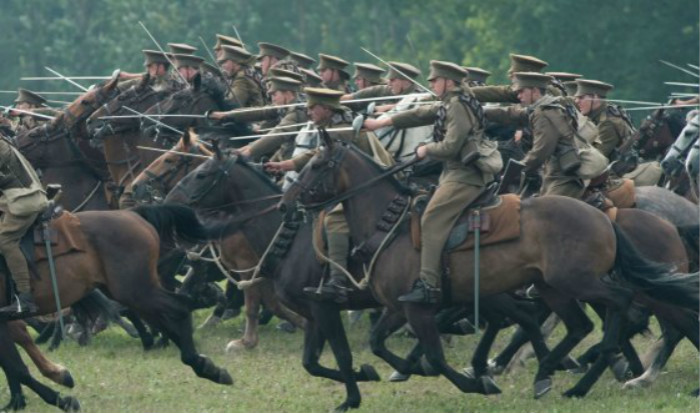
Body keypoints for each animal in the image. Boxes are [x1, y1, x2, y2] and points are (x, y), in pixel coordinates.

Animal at [0, 204, 232, 411]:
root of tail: (132, 213)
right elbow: (14, 365)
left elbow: (16, 368)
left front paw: (63, 400)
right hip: (130, 293)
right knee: (167, 316)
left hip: (136, 290)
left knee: (178, 309)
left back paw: (202, 365)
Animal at [280, 136, 696, 400]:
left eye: (316, 164)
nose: (287, 202)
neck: (389, 225)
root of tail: (604, 217)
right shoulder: (400, 308)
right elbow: (380, 344)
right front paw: (386, 372)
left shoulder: (419, 308)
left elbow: (434, 356)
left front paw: (476, 382)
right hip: (554, 288)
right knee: (584, 325)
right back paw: (562, 376)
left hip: (581, 283)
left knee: (625, 306)